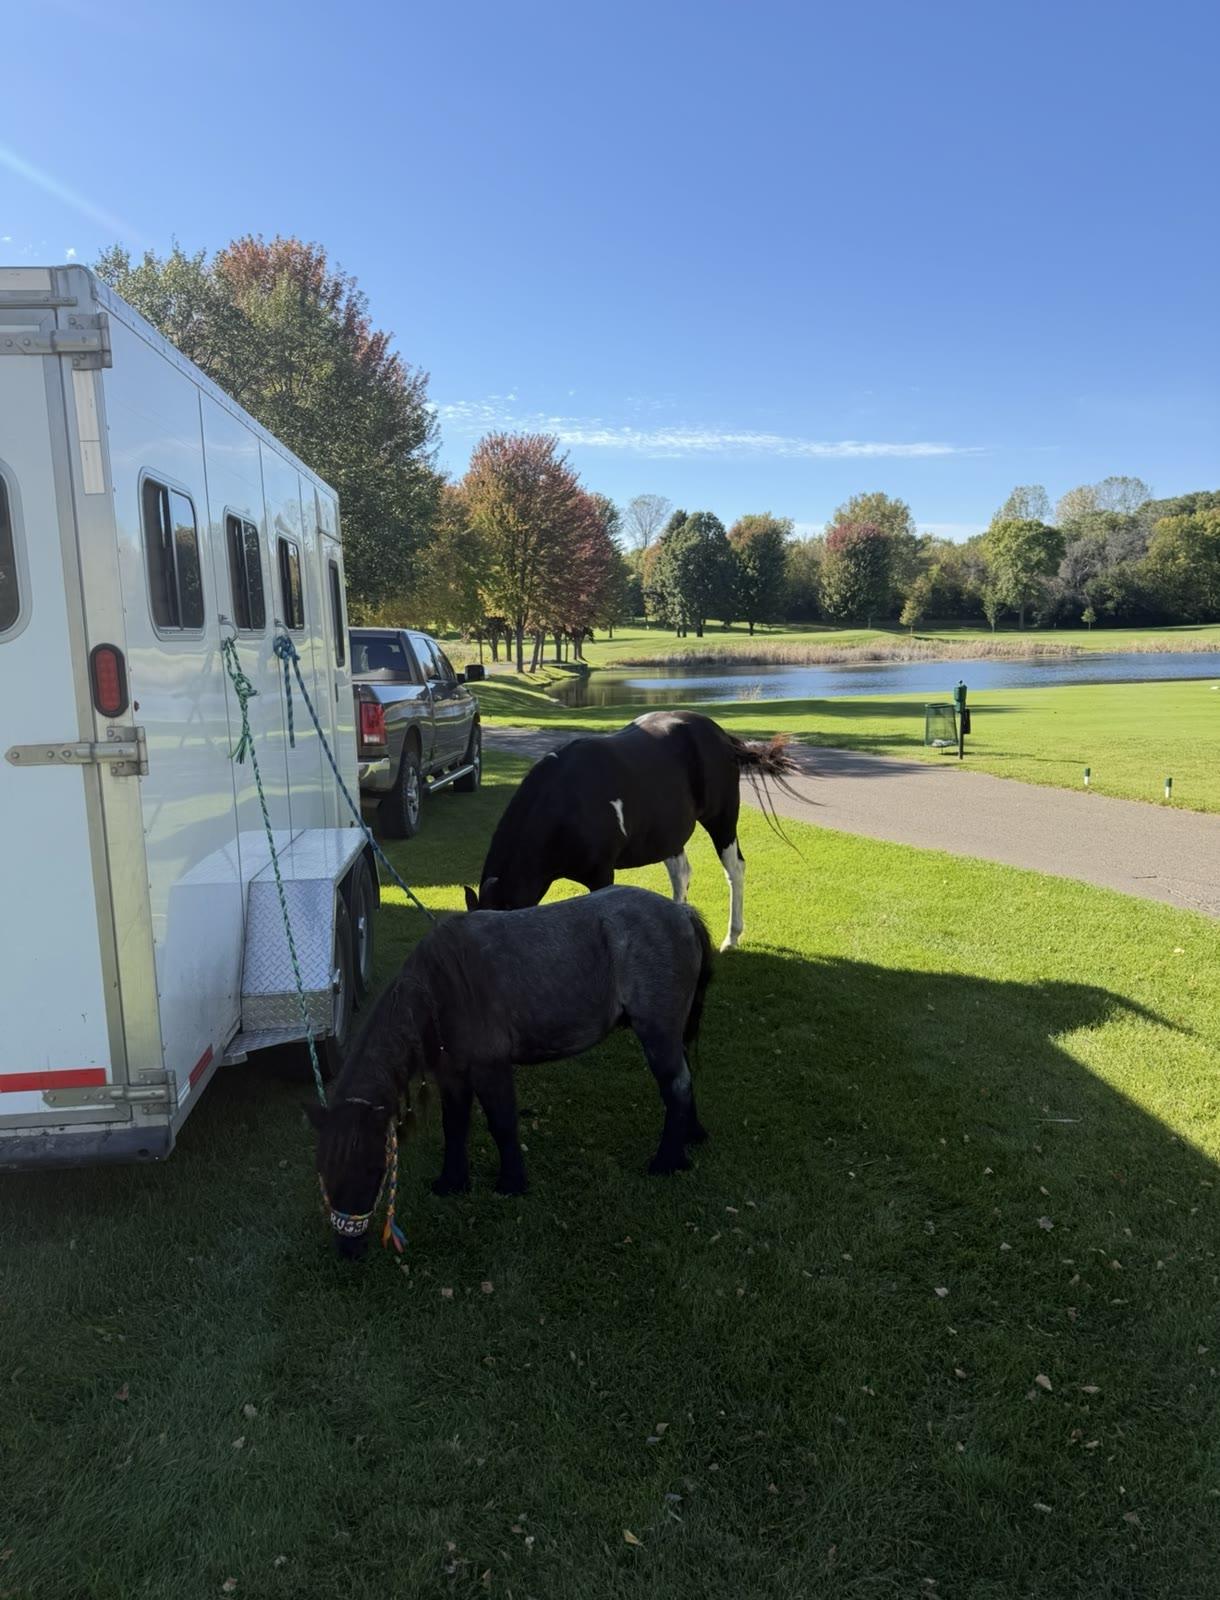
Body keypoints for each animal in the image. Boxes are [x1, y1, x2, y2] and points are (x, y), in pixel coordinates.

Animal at [306, 886, 714, 1260]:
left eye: (372, 1167)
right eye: (323, 1169)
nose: (348, 1248)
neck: (440, 987)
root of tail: (682, 913)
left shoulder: (491, 1068)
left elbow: (502, 1124)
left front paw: (511, 1183)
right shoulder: (452, 1075)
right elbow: (455, 1126)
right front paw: (452, 1182)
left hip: (656, 1032)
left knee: (676, 1086)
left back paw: (667, 1161)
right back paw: (691, 1136)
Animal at [464, 709, 801, 951]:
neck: (566, 800)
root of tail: (721, 735)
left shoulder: (601, 875)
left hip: (722, 820)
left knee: (735, 869)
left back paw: (731, 938)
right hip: (669, 832)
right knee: (681, 873)